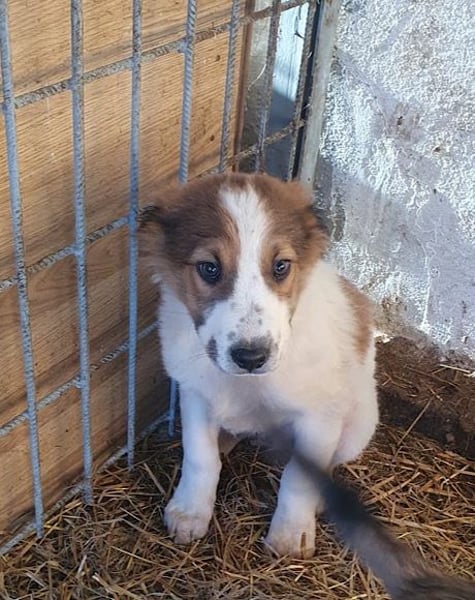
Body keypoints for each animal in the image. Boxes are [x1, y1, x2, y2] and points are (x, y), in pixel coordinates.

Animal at [139, 172, 379, 558]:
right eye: (209, 268)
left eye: (281, 266)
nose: (251, 357)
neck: (248, 384)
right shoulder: (195, 393)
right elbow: (200, 457)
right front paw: (190, 511)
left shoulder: (319, 418)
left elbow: (298, 479)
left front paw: (291, 534)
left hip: (359, 426)